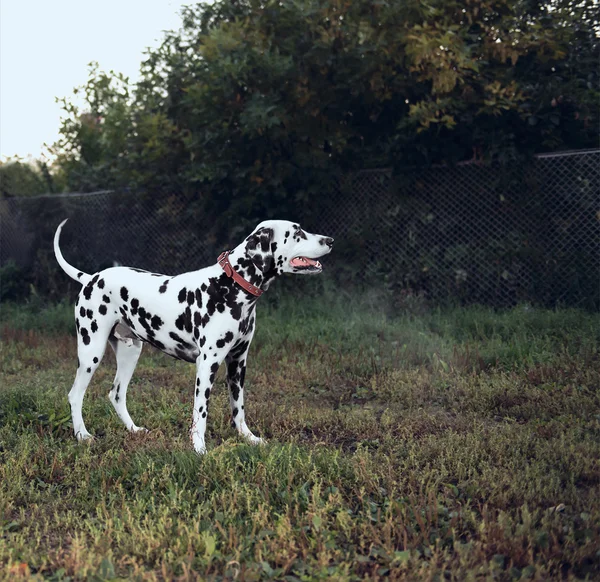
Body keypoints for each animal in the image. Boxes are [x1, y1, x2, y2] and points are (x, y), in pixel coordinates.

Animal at [54, 221, 336, 454]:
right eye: (297, 232)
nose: (330, 240)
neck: (229, 286)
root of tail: (91, 278)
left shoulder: (238, 363)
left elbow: (239, 409)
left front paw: (248, 438)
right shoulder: (208, 364)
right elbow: (200, 414)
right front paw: (199, 448)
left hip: (130, 352)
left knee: (116, 394)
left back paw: (133, 430)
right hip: (91, 351)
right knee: (75, 395)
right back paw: (82, 435)